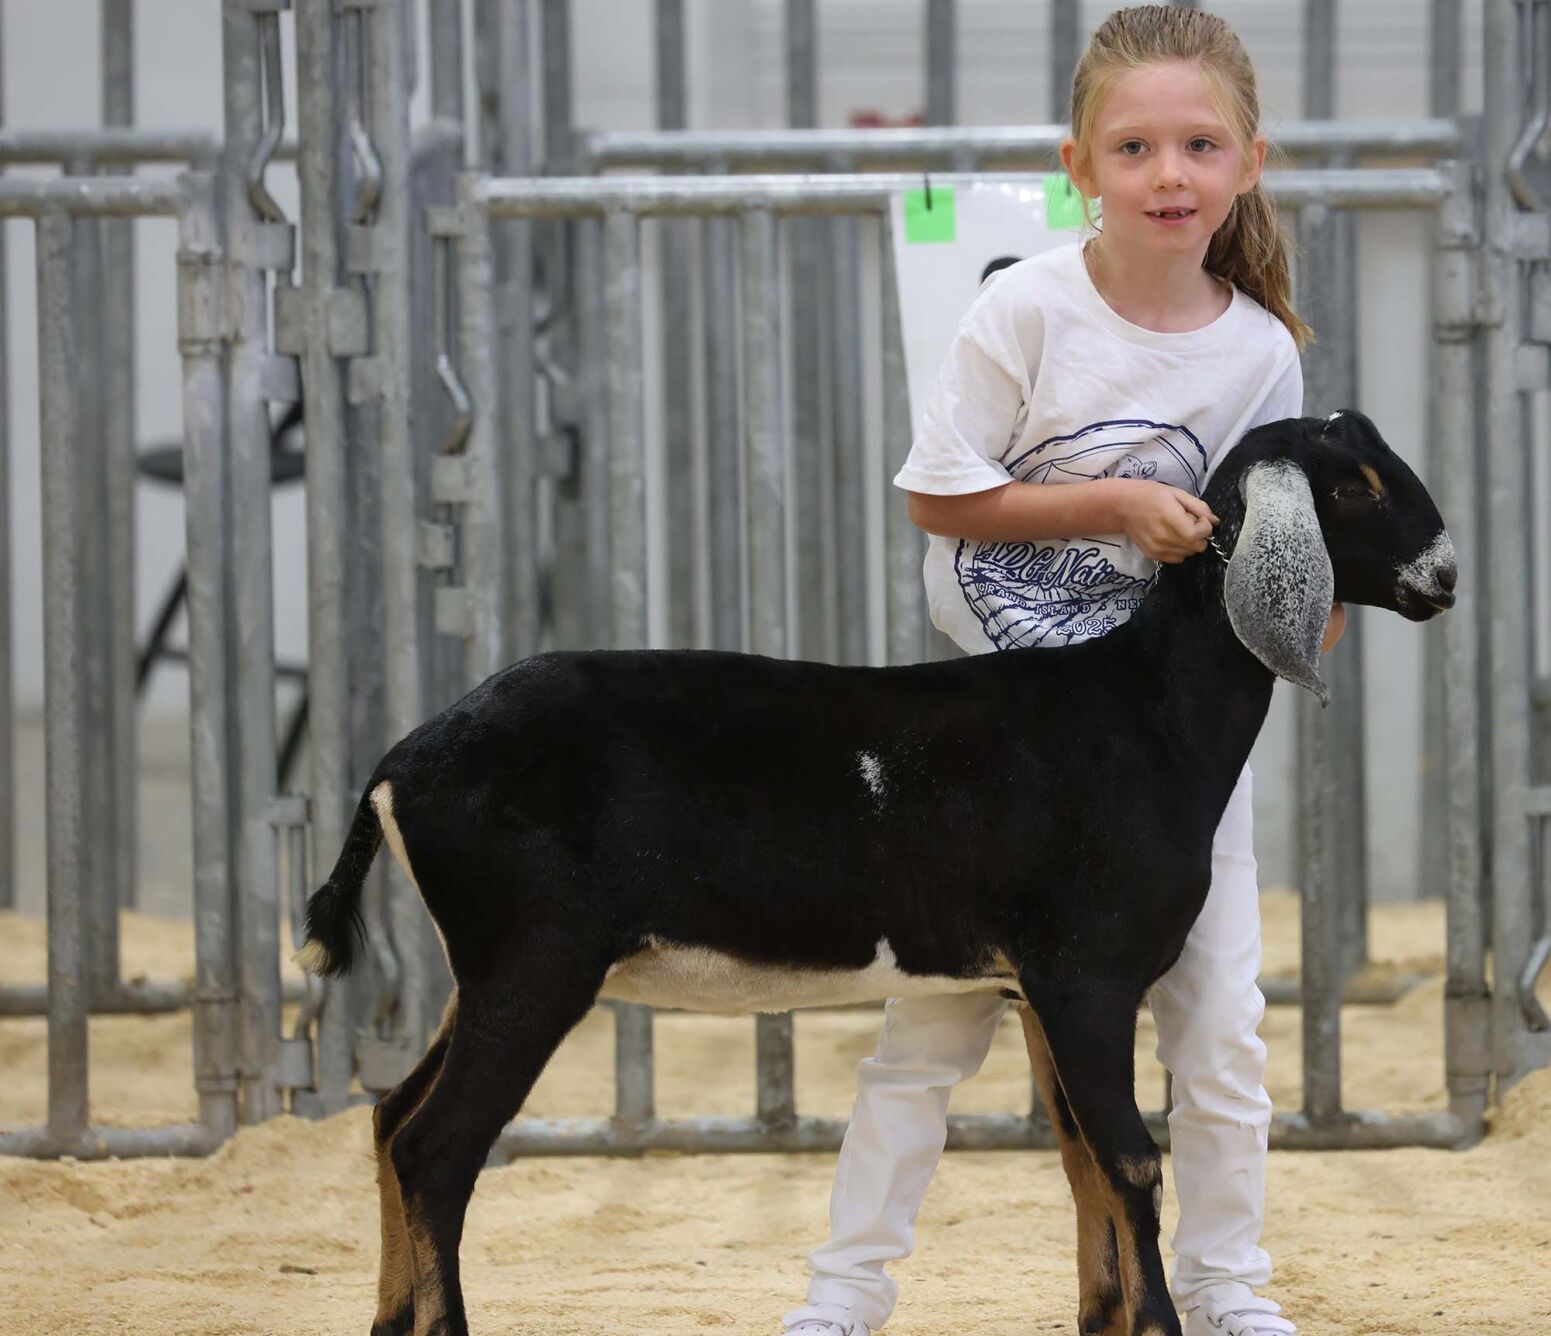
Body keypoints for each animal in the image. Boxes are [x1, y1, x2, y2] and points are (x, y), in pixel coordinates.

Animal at [300, 408, 1455, 1336]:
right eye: (1352, 484)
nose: (1444, 576)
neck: (1145, 712)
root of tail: (400, 765)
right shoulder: (1088, 972)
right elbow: (1128, 1157)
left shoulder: (1032, 985)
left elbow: (1079, 1157)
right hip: (533, 961)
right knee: (435, 1151)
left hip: (486, 966)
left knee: (390, 1118)